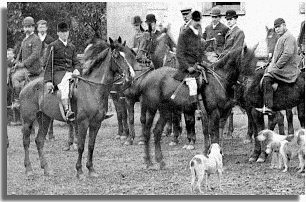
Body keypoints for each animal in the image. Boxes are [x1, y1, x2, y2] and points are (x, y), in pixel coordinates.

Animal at [18, 37, 134, 178]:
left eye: (127, 54)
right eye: (116, 55)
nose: (131, 76)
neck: (93, 88)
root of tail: (26, 86)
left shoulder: (96, 123)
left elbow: (91, 145)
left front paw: (91, 169)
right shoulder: (83, 123)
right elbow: (81, 146)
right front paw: (79, 171)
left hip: (44, 118)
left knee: (39, 140)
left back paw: (46, 169)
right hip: (28, 120)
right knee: (26, 141)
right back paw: (29, 169)